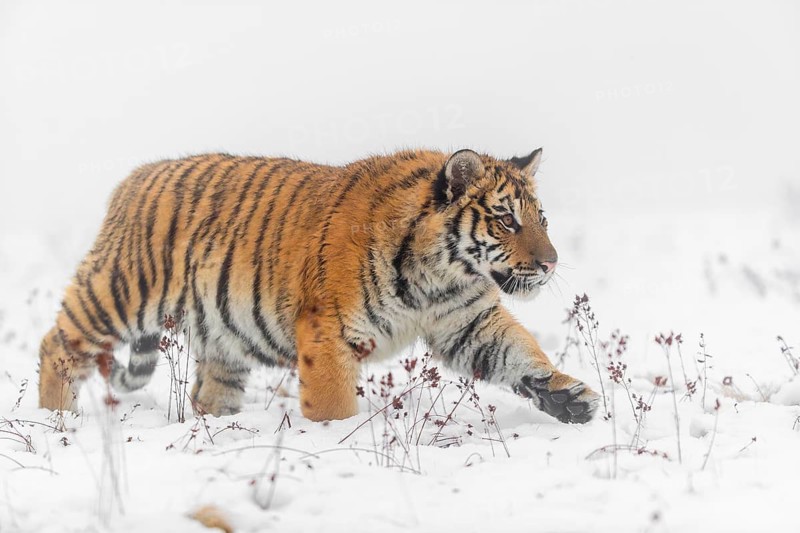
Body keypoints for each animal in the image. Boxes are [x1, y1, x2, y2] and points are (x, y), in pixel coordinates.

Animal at [38, 148, 600, 424]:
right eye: (506, 220)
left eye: (541, 218)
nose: (550, 264)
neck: (442, 274)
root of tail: (134, 178)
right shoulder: (328, 329)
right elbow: (332, 401)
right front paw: (338, 438)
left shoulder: (468, 323)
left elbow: (521, 353)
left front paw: (569, 397)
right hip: (118, 292)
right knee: (57, 343)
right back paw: (58, 419)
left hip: (224, 341)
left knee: (209, 391)